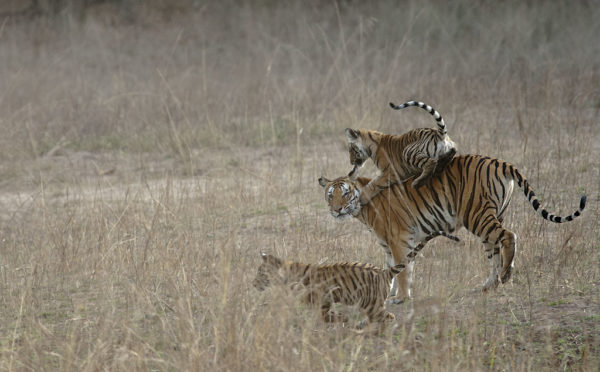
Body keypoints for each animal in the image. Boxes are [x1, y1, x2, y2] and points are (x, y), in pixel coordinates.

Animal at [318, 155, 584, 304]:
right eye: (330, 195)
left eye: (345, 194)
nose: (336, 210)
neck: (362, 209)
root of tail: (499, 162)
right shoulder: (389, 244)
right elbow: (393, 269)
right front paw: (392, 294)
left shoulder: (399, 240)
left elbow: (402, 270)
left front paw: (401, 298)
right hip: (492, 217)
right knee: (495, 252)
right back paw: (489, 284)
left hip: (476, 215)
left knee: (509, 236)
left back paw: (506, 274)